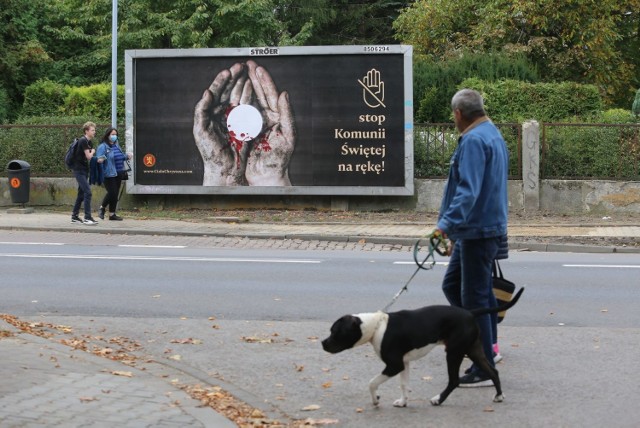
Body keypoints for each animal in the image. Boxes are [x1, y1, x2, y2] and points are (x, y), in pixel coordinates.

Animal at [322, 288, 524, 408]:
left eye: (335, 331)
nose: (323, 343)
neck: (376, 326)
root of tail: (470, 312)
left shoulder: (394, 365)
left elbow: (372, 382)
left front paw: (375, 400)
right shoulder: (403, 364)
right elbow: (404, 384)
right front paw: (403, 402)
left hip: (454, 352)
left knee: (454, 381)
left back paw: (438, 399)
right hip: (473, 350)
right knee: (493, 371)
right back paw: (499, 396)